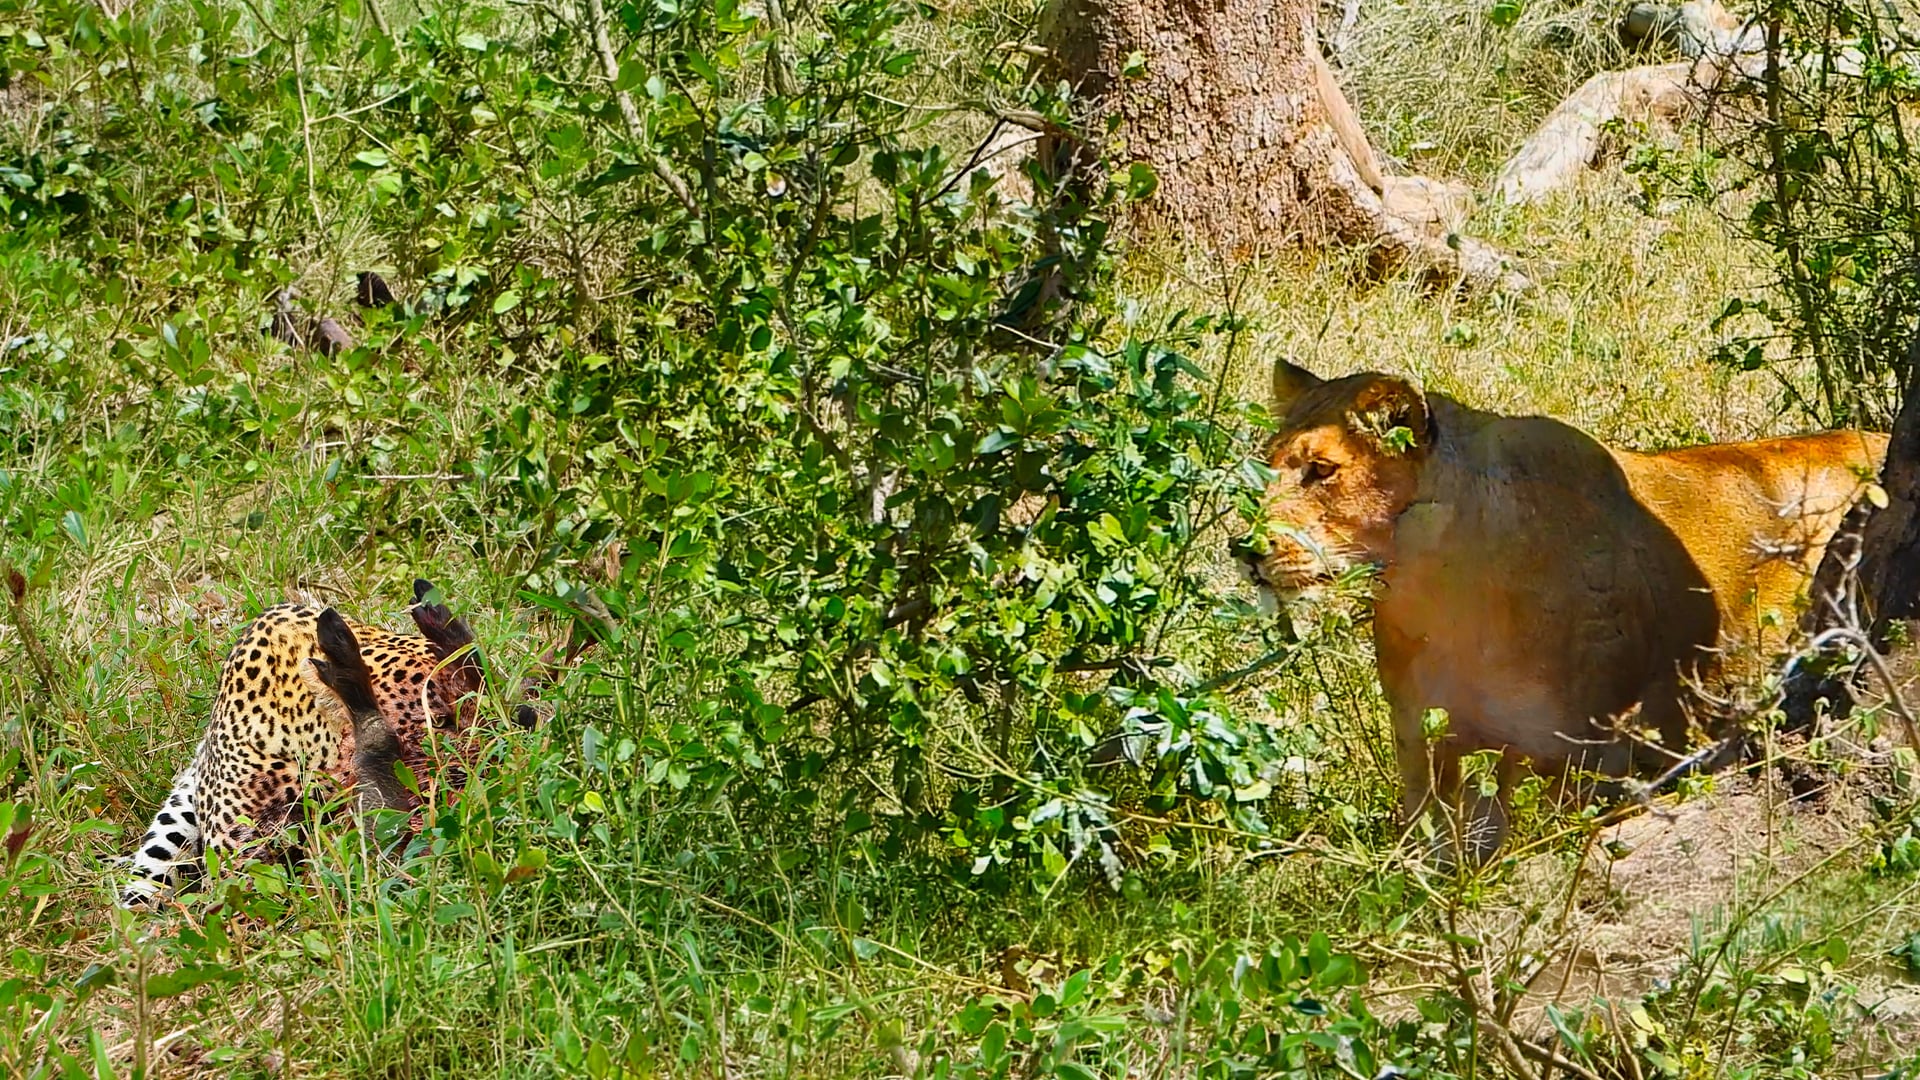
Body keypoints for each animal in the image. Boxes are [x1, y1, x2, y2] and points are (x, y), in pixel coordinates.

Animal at [1234, 359, 1888, 863]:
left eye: (1321, 470)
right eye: (1266, 464)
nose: (1246, 550)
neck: (1436, 599)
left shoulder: (1580, 753)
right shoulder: (1423, 740)